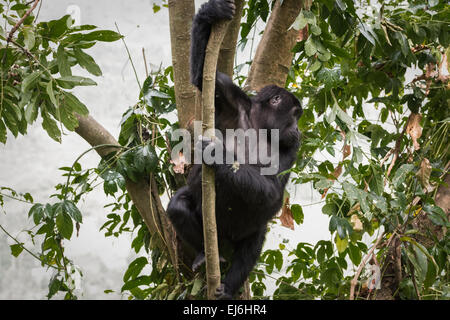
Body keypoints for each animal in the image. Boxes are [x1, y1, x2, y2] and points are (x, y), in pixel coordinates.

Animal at [166, 0, 302, 300]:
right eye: (295, 114)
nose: (299, 127)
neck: (260, 124)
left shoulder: (291, 148)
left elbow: (273, 189)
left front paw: (216, 156)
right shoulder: (230, 99)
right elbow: (202, 78)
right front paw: (211, 12)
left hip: (246, 234)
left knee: (253, 244)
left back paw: (228, 287)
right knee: (178, 206)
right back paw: (205, 255)